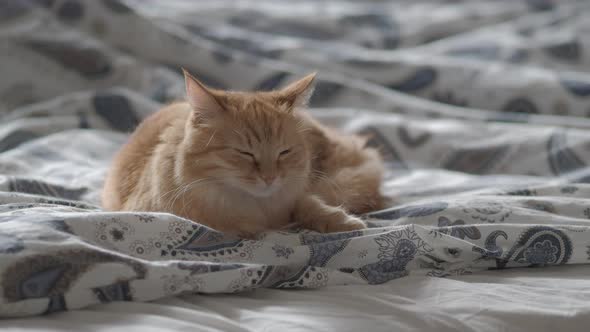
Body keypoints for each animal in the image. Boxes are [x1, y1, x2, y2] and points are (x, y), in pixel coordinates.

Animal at [103, 70, 386, 237]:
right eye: (244, 153)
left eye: (284, 152)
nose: (271, 178)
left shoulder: (297, 194)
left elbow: (309, 205)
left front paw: (342, 222)